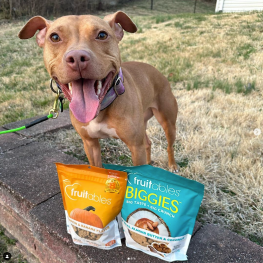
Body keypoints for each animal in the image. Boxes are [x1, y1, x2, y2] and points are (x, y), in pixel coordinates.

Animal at [19, 11, 179, 173]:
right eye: (55, 37)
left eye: (102, 35)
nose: (77, 58)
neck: (101, 108)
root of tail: (157, 71)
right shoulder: (90, 144)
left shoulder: (135, 146)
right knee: (147, 142)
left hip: (167, 122)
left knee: (169, 145)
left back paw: (172, 165)